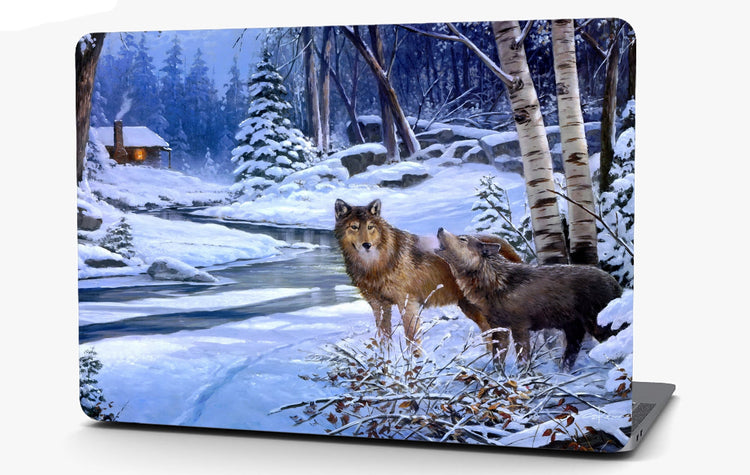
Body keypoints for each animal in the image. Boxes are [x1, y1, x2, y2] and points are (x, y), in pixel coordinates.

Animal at [334, 198, 522, 346]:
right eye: (354, 227)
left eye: (370, 227)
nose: (366, 245)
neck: (375, 265)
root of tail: (500, 241)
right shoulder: (378, 306)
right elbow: (384, 340)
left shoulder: (407, 304)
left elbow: (411, 340)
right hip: (470, 308)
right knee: (490, 336)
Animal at [436, 228, 622, 370]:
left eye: (462, 239)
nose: (439, 228)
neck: (495, 283)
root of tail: (614, 282)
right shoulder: (499, 328)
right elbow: (497, 358)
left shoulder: (520, 327)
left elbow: (522, 359)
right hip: (573, 330)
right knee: (570, 355)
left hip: (597, 327)